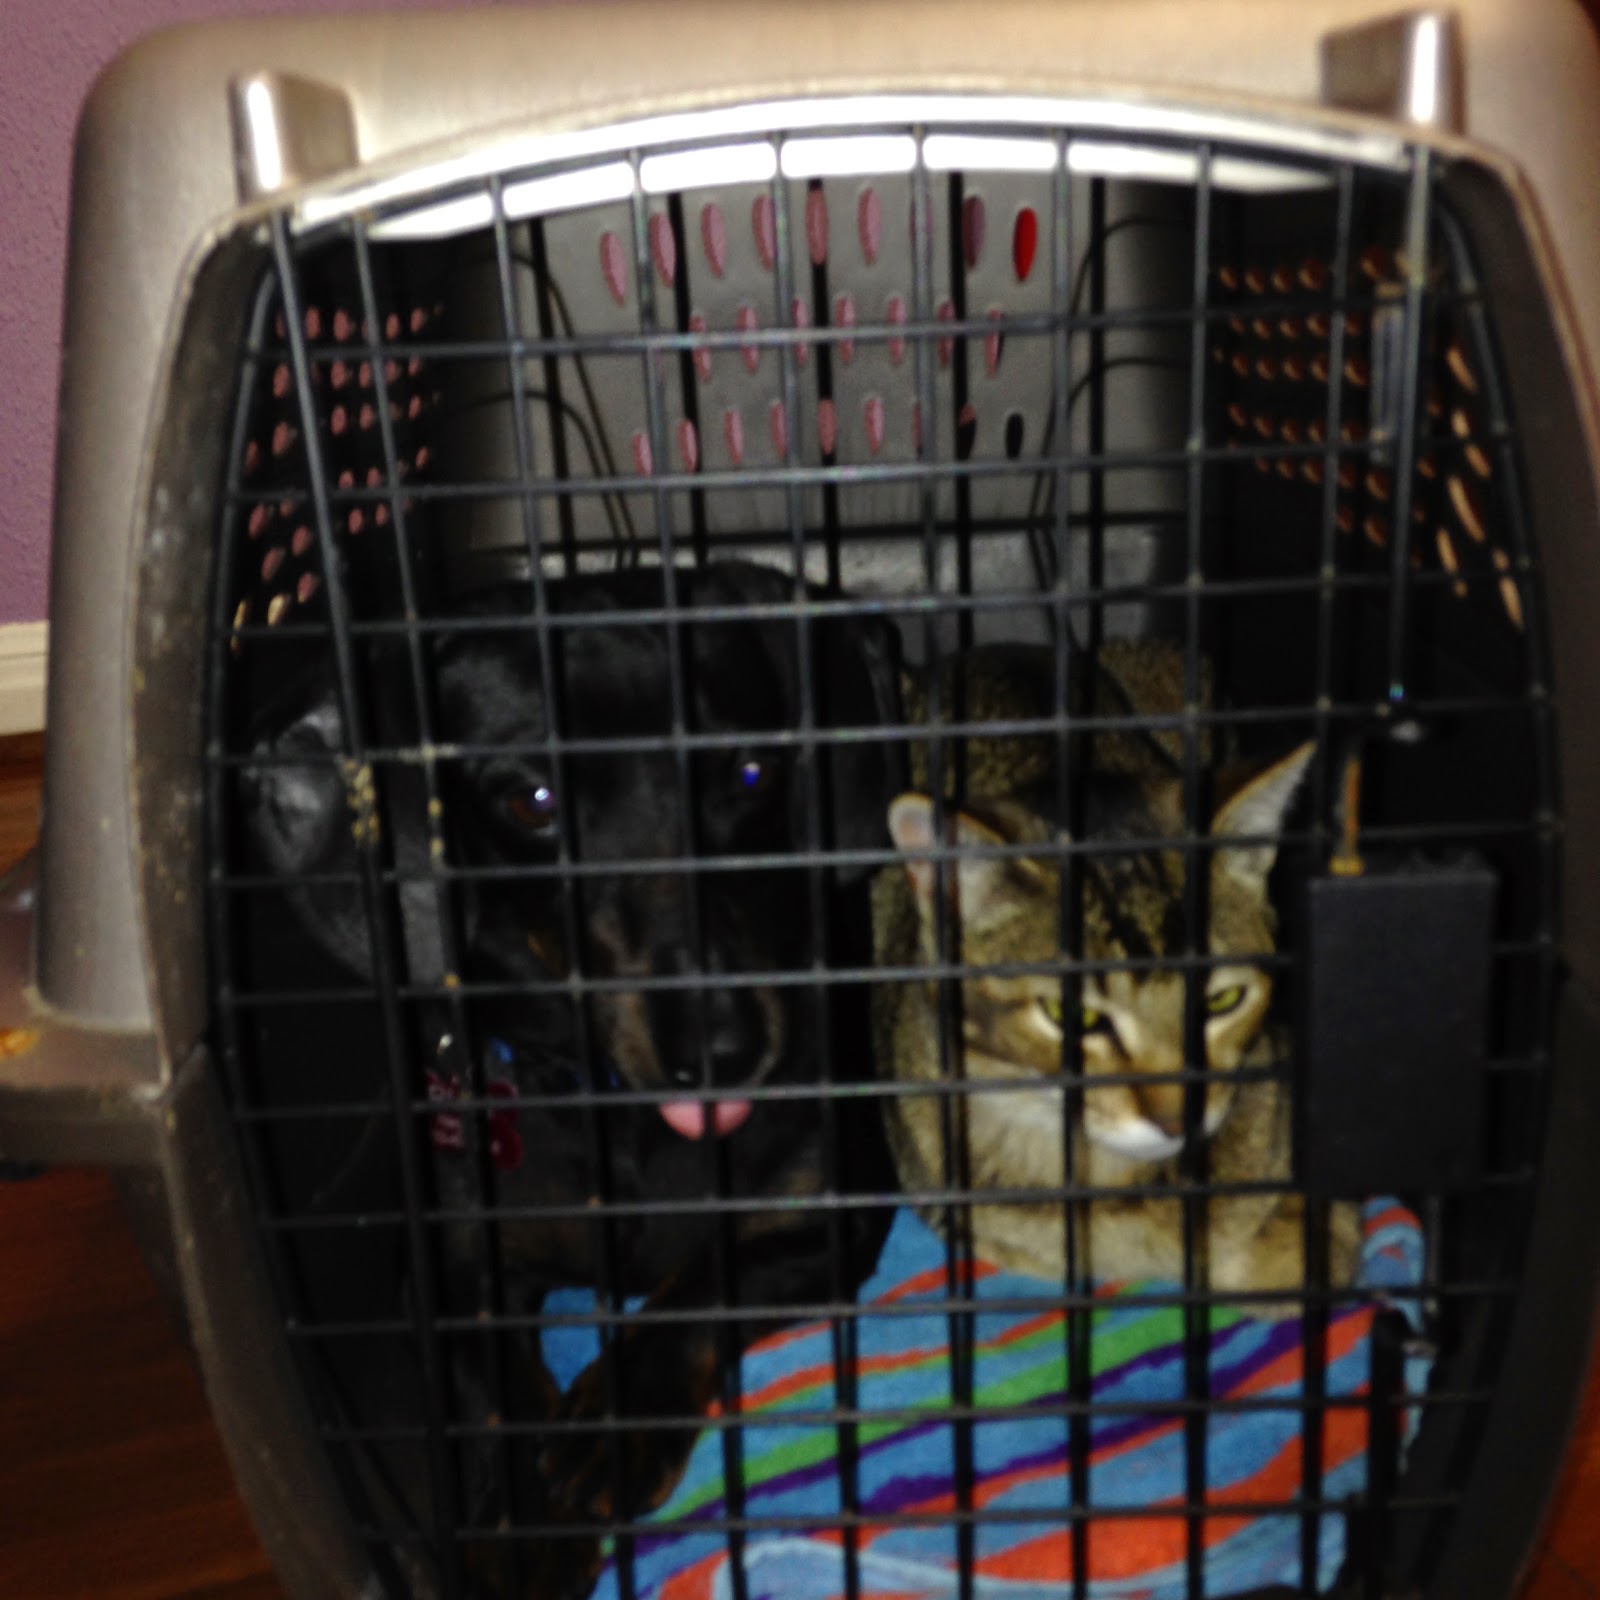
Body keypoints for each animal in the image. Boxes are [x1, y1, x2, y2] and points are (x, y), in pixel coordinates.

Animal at [242, 559, 903, 1596]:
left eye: (750, 773)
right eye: (533, 802)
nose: (719, 1048)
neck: (615, 1101)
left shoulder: (828, 1212)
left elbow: (698, 1287)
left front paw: (612, 1429)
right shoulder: (450, 1262)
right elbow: (501, 1392)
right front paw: (526, 1528)